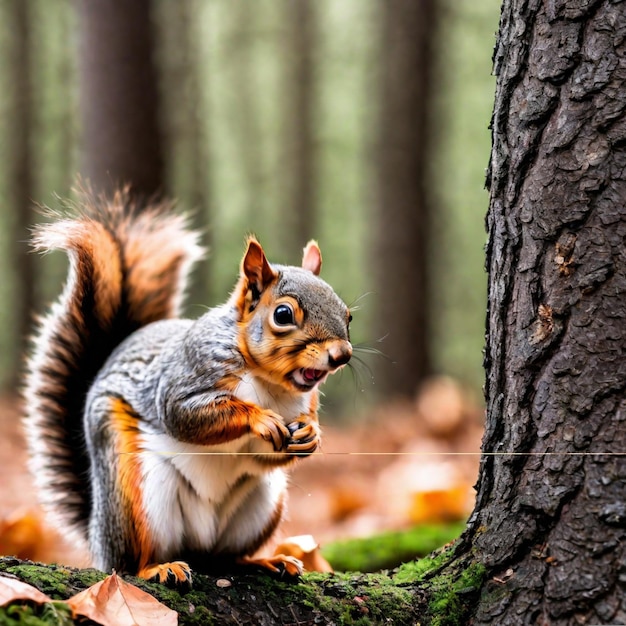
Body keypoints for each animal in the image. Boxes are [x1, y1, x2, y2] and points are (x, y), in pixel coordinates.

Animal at [23, 188, 352, 584]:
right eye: (283, 314)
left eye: (348, 315)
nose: (342, 355)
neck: (268, 382)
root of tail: (98, 538)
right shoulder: (186, 375)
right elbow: (183, 414)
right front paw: (259, 418)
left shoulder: (303, 403)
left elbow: (267, 451)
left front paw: (311, 434)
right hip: (137, 494)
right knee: (129, 564)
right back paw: (158, 567)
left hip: (261, 506)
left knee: (226, 558)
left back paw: (263, 561)